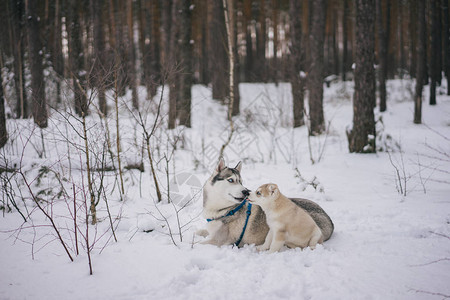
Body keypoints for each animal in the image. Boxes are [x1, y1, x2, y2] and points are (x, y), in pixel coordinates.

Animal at [200, 158, 334, 247]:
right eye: (231, 180)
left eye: (241, 182)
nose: (246, 191)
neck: (222, 210)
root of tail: (329, 219)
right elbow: (199, 231)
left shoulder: (220, 240)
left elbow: (198, 243)